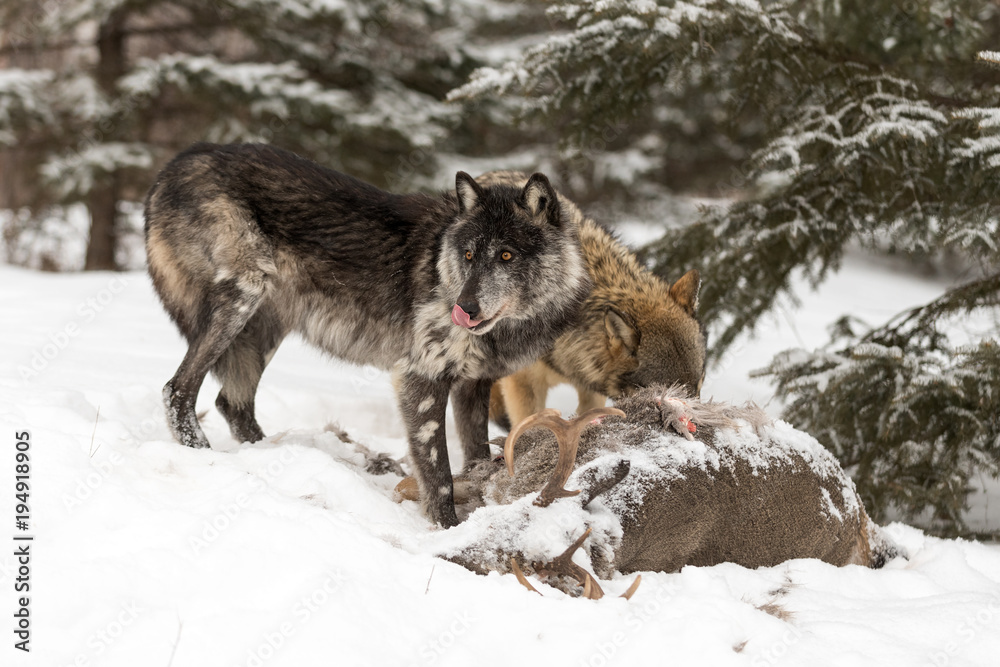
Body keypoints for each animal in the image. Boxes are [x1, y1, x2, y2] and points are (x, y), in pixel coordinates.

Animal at [143, 143, 590, 527]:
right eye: (468, 255)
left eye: (506, 255)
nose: (463, 309)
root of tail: (176, 164)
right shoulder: (421, 378)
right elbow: (440, 475)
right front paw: (446, 530)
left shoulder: (473, 384)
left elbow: (476, 456)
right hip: (242, 297)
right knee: (177, 390)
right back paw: (204, 455)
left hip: (263, 327)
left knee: (231, 403)